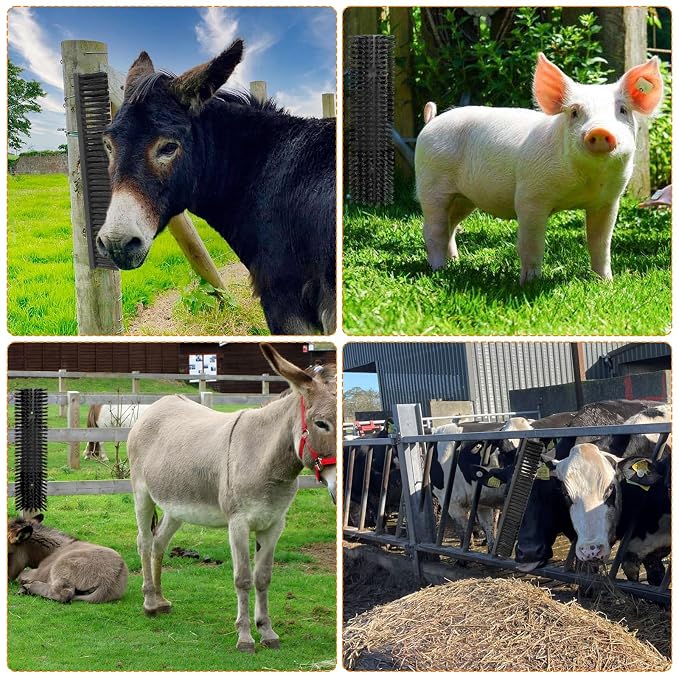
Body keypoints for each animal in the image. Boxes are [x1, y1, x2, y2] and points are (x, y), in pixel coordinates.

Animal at [127, 344, 336, 652]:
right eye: (321, 424)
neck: (264, 459)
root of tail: (158, 404)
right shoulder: (238, 524)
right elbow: (243, 579)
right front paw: (245, 637)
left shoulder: (274, 524)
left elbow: (263, 577)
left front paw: (267, 632)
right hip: (142, 494)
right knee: (143, 541)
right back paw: (150, 602)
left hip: (176, 506)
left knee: (158, 542)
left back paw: (161, 600)